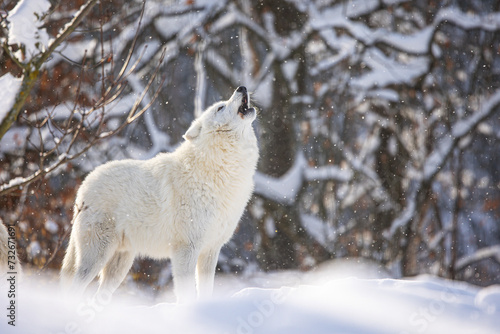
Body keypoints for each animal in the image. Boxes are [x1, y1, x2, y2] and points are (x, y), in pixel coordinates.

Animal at [60, 85, 260, 300]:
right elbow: (186, 293)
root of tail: (85, 184)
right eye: (220, 107)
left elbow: (207, 290)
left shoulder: (211, 249)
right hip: (96, 256)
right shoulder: (186, 249)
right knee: (73, 289)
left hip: (120, 265)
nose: (241, 87)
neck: (219, 169)